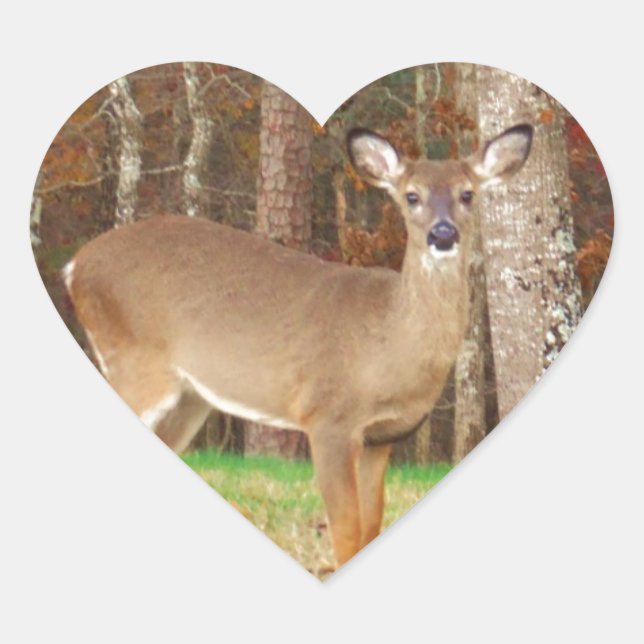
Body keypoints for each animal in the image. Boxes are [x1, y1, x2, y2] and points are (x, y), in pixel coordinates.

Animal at [64, 124, 533, 567]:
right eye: (411, 195)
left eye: (467, 193)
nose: (443, 234)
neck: (387, 344)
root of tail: (75, 265)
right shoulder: (328, 417)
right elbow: (346, 535)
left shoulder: (382, 437)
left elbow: (369, 529)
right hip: (133, 361)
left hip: (189, 398)